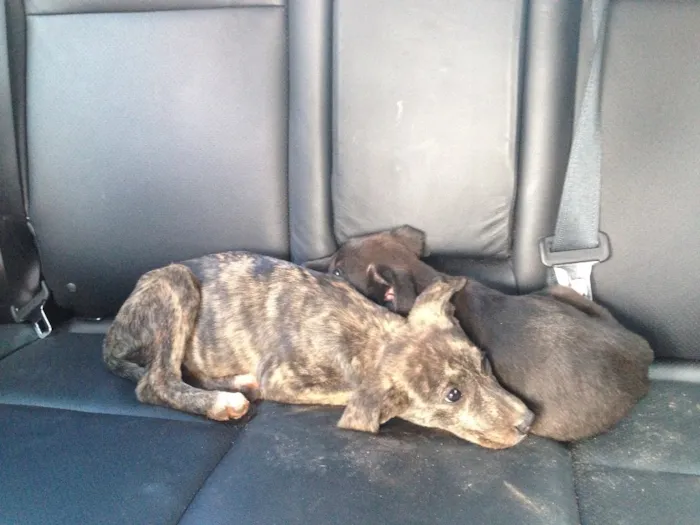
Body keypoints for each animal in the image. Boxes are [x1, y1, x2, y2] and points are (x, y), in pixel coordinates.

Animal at [103, 251, 535, 449]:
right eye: (452, 395)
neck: (371, 332)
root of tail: (111, 335)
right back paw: (221, 402)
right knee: (156, 381)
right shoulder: (284, 377)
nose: (528, 422)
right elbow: (353, 392)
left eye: (484, 362)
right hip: (176, 282)